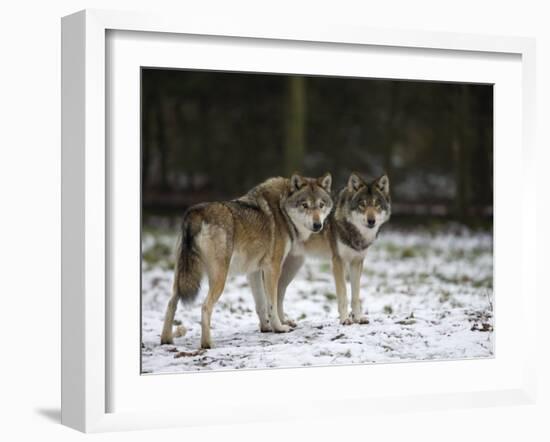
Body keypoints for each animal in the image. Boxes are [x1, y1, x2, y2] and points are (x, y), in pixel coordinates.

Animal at [158, 173, 332, 348]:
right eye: (305, 205)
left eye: (321, 205)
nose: (318, 225)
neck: (282, 209)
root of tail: (195, 213)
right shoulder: (273, 268)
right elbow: (272, 303)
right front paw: (279, 328)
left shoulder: (254, 271)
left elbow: (261, 303)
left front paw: (265, 328)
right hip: (219, 278)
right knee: (205, 306)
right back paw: (208, 344)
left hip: (182, 278)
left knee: (171, 303)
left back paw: (166, 340)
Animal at [268, 173, 392, 328]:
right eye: (362, 204)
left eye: (376, 204)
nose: (371, 221)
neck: (354, 231)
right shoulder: (338, 261)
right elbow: (343, 294)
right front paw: (345, 319)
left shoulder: (357, 262)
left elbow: (356, 296)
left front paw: (358, 318)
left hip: (293, 267)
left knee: (279, 292)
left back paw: (284, 321)